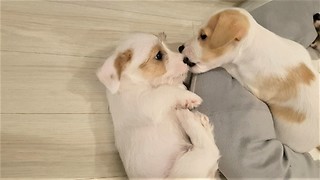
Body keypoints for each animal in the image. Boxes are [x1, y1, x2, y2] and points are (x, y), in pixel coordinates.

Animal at [96, 33, 219, 178]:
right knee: (209, 150)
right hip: (184, 169)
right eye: (158, 55)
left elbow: (173, 86)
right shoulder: (146, 104)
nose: (187, 59)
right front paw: (189, 97)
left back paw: (202, 122)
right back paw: (186, 117)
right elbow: (166, 90)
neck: (134, 83)